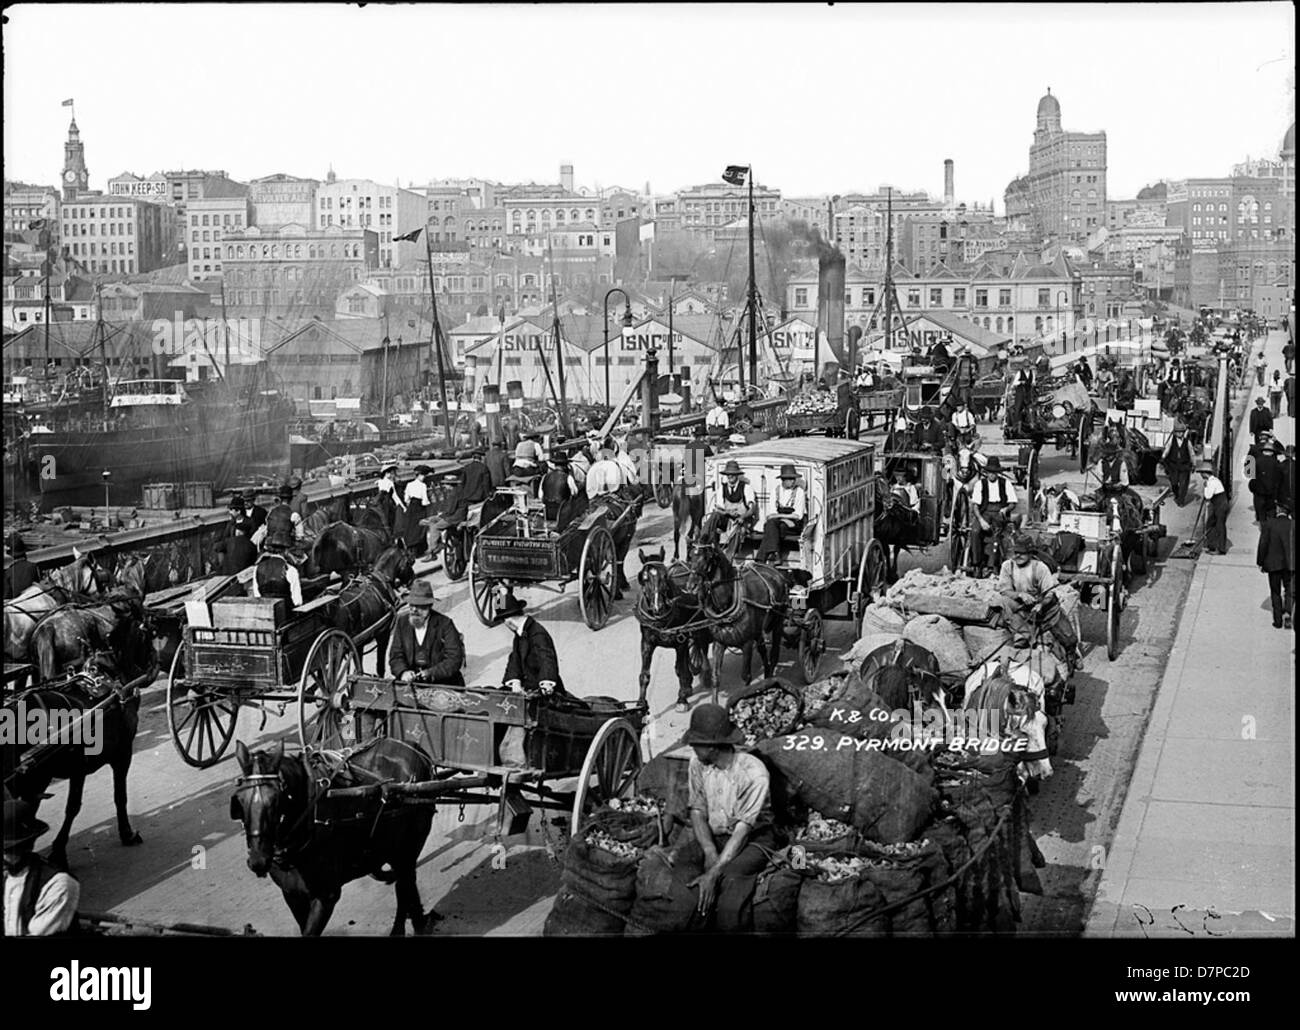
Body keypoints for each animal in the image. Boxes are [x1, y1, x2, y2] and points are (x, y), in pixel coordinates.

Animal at [232, 738, 436, 936]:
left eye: (276, 800)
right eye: (239, 801)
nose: (257, 860)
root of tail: (412, 747)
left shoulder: (326, 895)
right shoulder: (291, 894)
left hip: (408, 846)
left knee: (404, 884)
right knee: (406, 883)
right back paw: (418, 920)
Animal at [631, 551, 712, 712]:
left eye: (665, 576)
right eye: (644, 578)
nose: (658, 607)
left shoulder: (679, 642)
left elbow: (680, 670)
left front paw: (681, 700)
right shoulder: (646, 643)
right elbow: (644, 674)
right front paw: (641, 703)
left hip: (700, 627)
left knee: (702, 647)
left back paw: (705, 676)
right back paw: (688, 685)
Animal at [686, 538, 785, 691]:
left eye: (707, 558)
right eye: (690, 556)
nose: (691, 586)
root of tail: (775, 571)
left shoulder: (747, 644)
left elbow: (746, 677)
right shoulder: (719, 642)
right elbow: (716, 678)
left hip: (778, 622)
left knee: (774, 654)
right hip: (758, 630)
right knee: (763, 650)